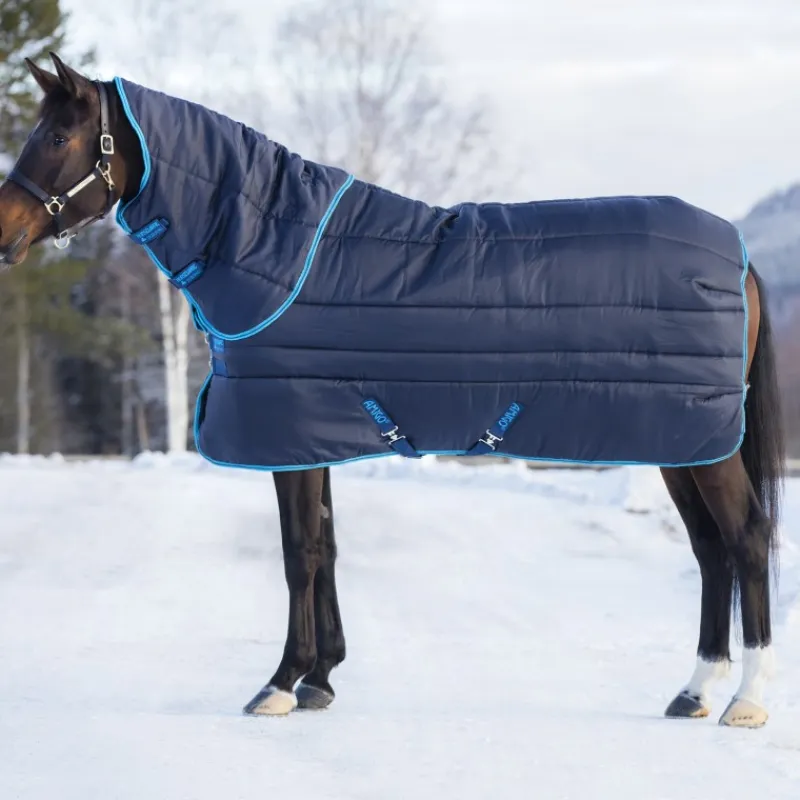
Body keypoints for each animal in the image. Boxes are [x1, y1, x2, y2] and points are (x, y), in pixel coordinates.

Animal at [0, 53, 785, 728]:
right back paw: (694, 691)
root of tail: (739, 255)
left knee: (746, 538)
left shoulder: (289, 431)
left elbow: (299, 553)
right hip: (683, 442)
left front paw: (280, 683)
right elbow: (326, 546)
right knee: (710, 549)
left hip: (707, 447)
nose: (3, 232)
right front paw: (321, 679)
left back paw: (746, 699)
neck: (276, 254)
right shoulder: (313, 434)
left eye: (61, 135)